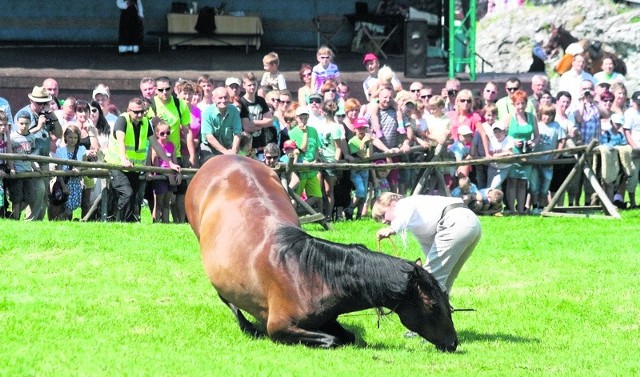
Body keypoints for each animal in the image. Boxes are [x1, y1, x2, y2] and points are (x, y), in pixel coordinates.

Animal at [185, 155, 460, 350]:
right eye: (433, 306)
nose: (453, 343)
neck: (306, 273)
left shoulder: (328, 319)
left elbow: (348, 337)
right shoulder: (280, 328)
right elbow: (333, 341)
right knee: (226, 298)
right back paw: (247, 327)